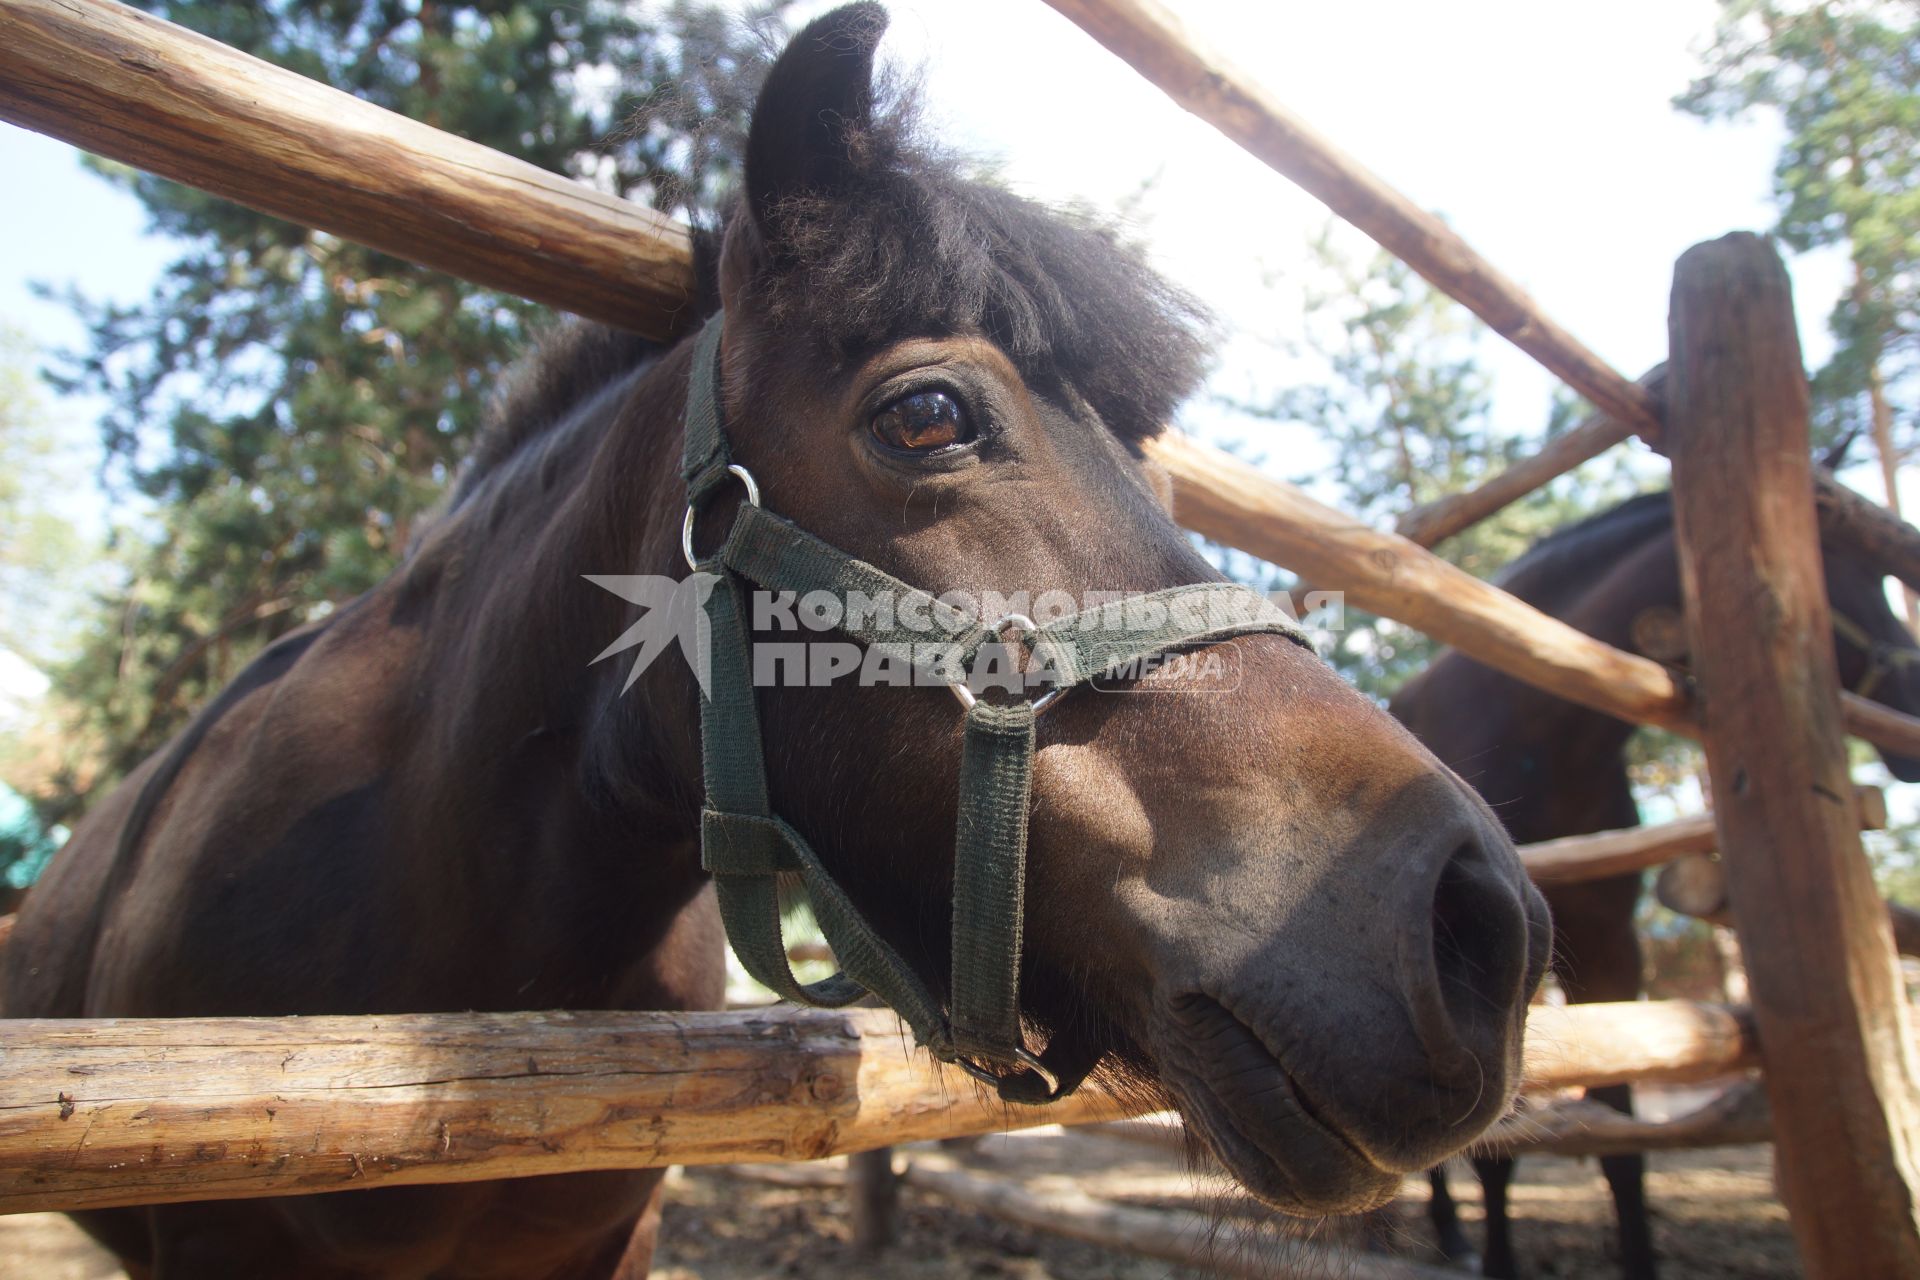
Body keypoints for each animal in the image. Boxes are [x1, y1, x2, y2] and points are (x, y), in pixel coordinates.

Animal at [1397, 485, 1920, 1274]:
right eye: (1843, 572)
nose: (1915, 711)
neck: (1542, 735)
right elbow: (1494, 1150)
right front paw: (1497, 1260)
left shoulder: (1607, 945)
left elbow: (1619, 1141)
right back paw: (1453, 1235)